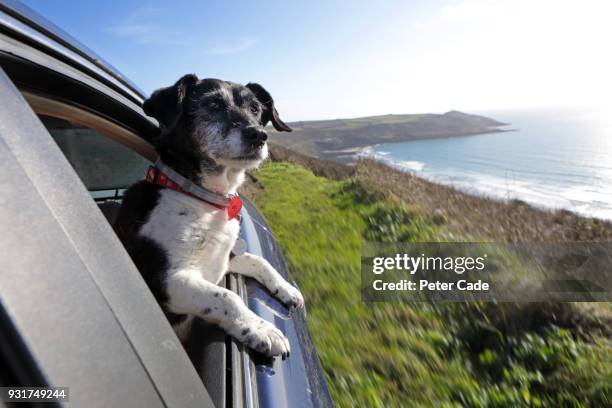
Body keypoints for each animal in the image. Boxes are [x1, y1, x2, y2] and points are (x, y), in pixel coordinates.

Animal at [115, 75, 304, 358]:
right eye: (213, 104)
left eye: (255, 109)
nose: (259, 135)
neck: (202, 199)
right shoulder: (165, 281)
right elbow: (227, 298)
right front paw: (262, 330)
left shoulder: (224, 258)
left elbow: (258, 261)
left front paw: (287, 289)